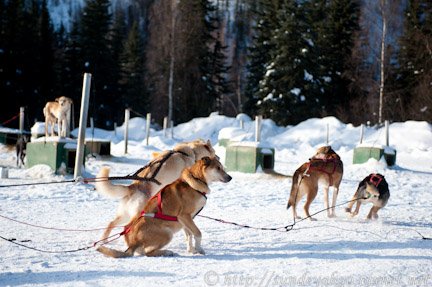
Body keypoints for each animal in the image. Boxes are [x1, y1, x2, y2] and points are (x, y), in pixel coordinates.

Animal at [97, 158, 233, 258]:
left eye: (222, 167)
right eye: (218, 168)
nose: (230, 177)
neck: (195, 182)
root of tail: (133, 243)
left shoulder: (185, 220)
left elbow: (189, 235)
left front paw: (191, 250)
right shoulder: (185, 216)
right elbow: (197, 233)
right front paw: (199, 250)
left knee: (142, 251)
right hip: (167, 234)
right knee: (148, 253)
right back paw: (167, 252)